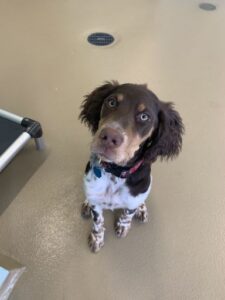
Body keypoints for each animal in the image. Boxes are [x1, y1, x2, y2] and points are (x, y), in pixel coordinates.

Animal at [78, 81, 183, 252]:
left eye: (144, 116)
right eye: (111, 102)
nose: (109, 137)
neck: (115, 173)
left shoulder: (133, 200)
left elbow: (127, 215)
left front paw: (122, 227)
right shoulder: (96, 203)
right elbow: (98, 222)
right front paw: (96, 238)